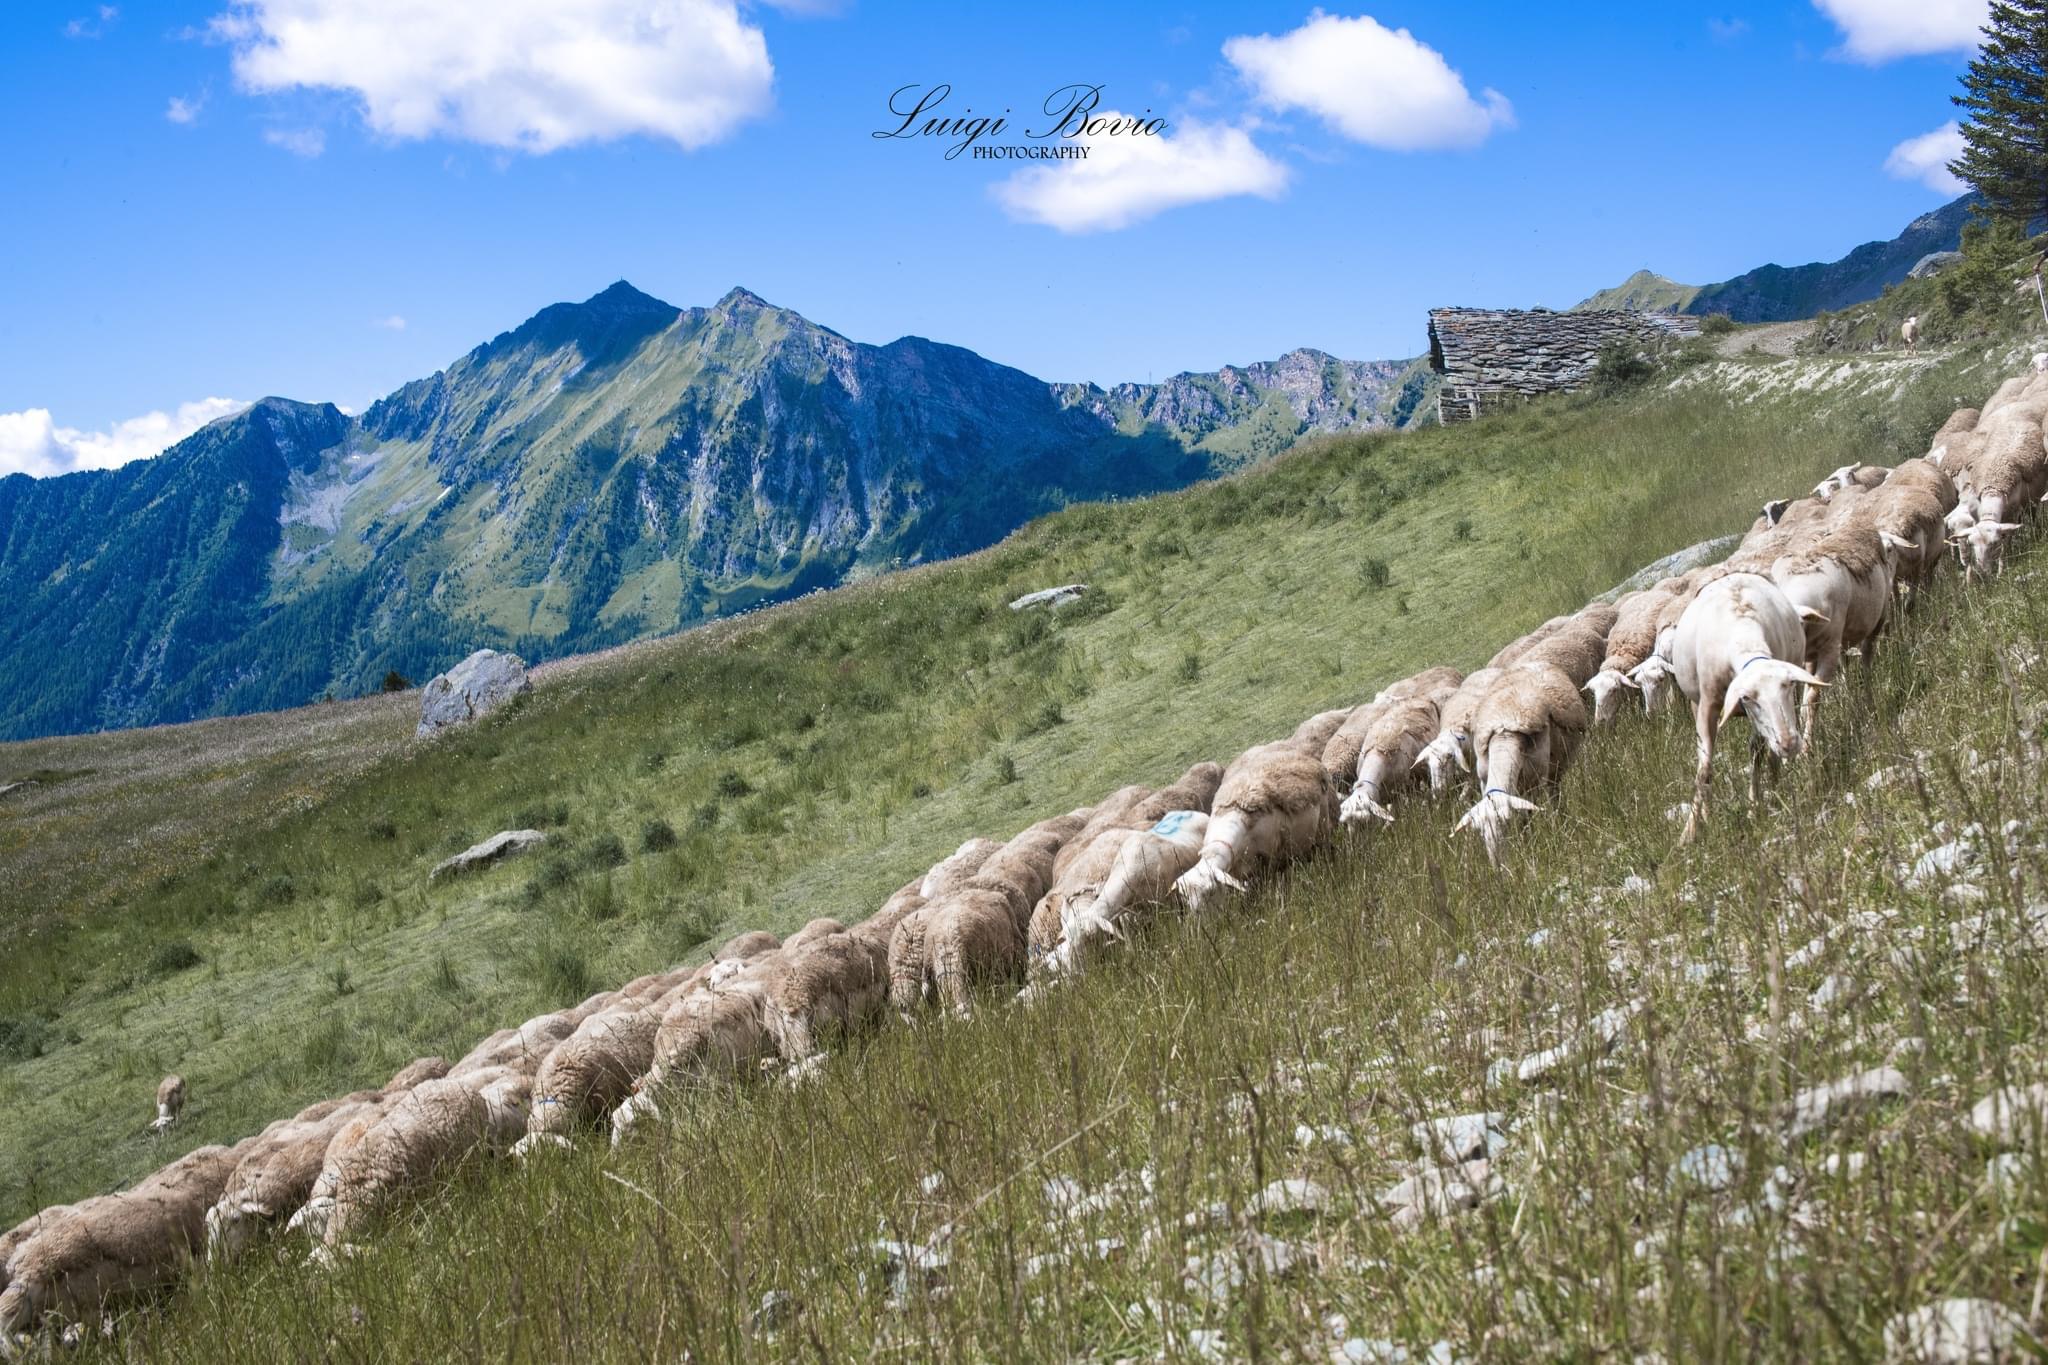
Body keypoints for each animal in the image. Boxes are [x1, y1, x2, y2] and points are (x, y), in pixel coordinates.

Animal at [1458, 663, 1581, 863]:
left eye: (1507, 824)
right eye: (1481, 832)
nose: (1497, 864)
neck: (1505, 736)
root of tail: (1534, 663)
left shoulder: (1534, 782)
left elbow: (1526, 815)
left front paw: (1527, 842)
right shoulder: (1483, 779)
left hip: (1555, 769)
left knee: (1554, 793)